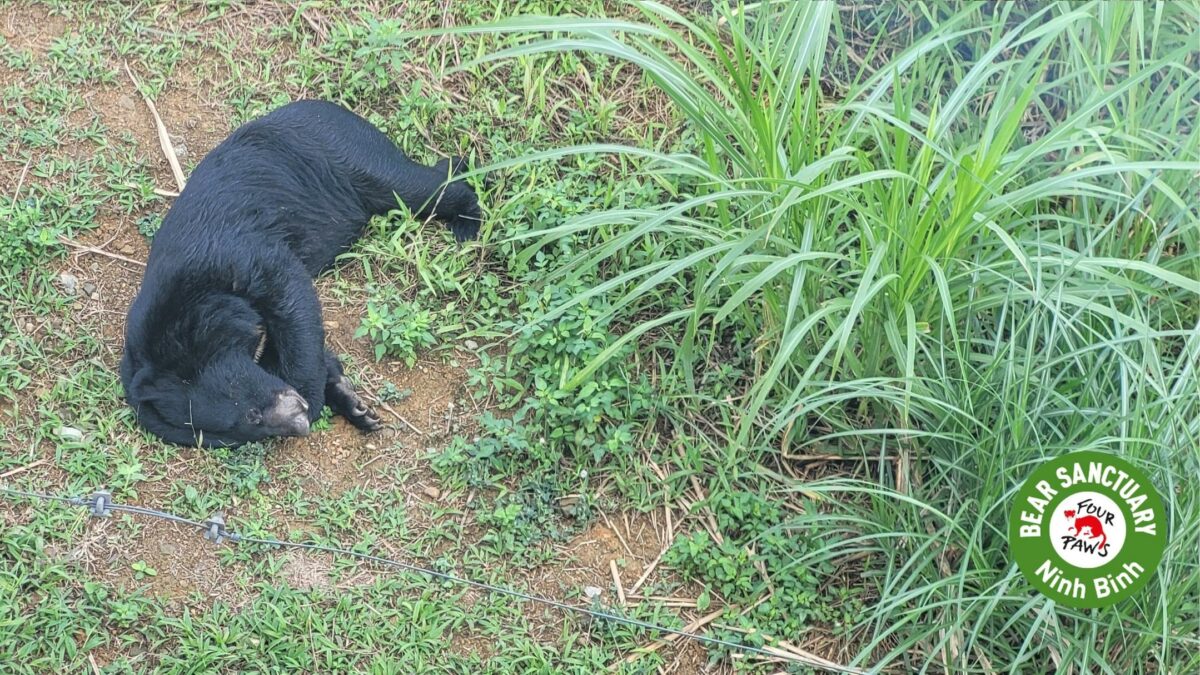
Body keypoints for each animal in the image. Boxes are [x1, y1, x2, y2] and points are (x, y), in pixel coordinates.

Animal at [120, 98, 477, 446]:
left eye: (252, 415)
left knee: (419, 187)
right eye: (236, 435)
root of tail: (329, 106)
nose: (300, 422)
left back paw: (468, 220)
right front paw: (354, 405)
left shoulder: (237, 256)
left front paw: (315, 393)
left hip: (346, 153)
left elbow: (292, 299)